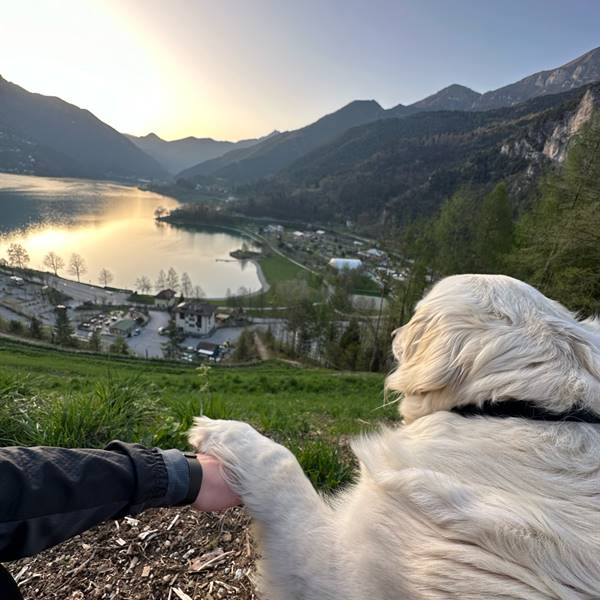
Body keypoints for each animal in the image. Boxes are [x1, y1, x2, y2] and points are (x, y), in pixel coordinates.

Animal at [189, 274, 600, 596]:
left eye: (415, 314)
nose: (393, 332)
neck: (532, 409)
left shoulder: (337, 570)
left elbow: (282, 463)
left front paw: (229, 434)